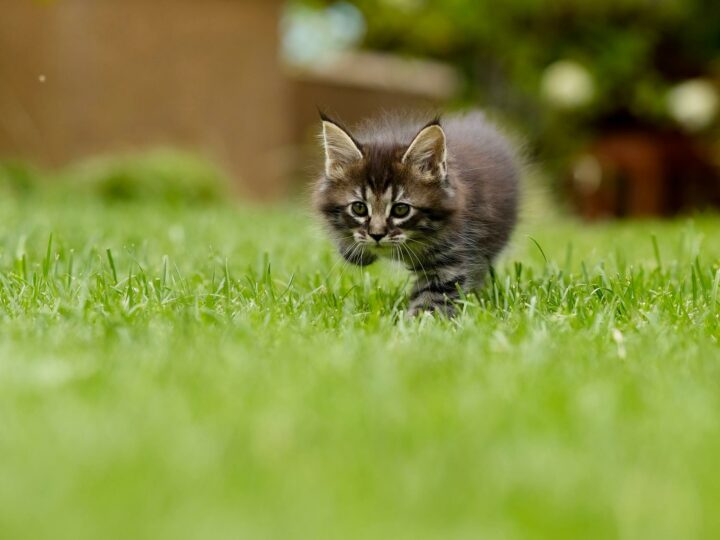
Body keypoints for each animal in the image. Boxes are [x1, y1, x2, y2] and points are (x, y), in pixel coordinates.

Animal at [312, 110, 520, 316]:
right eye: (359, 208)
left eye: (401, 209)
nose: (377, 235)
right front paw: (355, 251)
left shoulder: (450, 256)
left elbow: (433, 299)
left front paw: (415, 322)